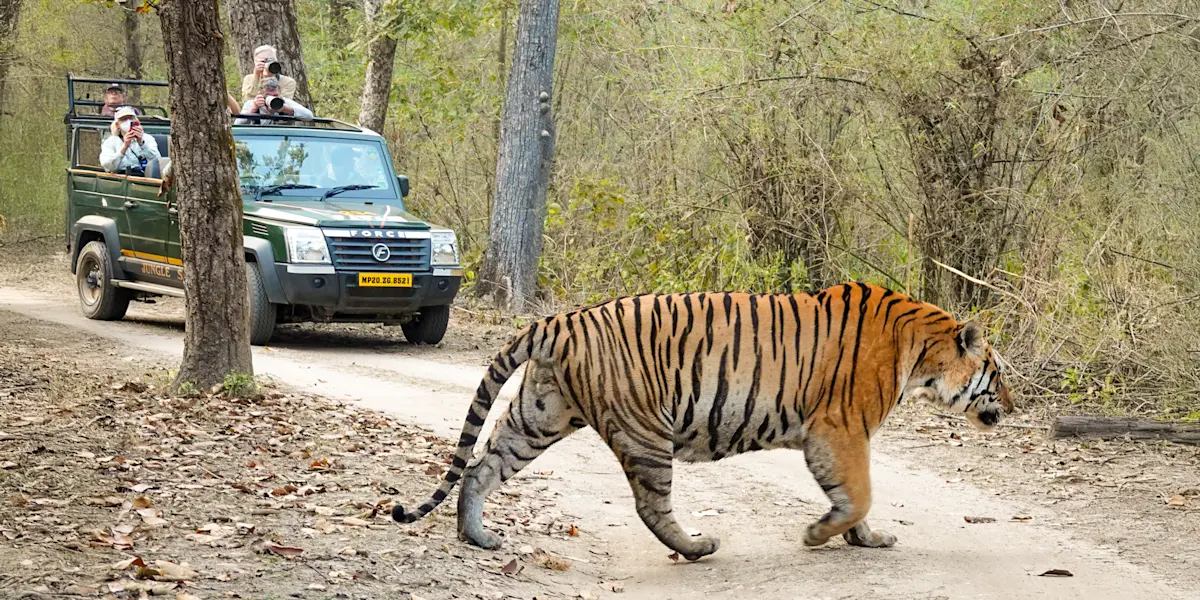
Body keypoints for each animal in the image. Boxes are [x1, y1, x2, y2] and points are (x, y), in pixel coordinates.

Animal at [393, 282, 1014, 561]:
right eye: (998, 371)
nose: (1013, 405)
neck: (924, 355)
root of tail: (559, 320)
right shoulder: (840, 430)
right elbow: (857, 494)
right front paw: (819, 535)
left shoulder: (840, 435)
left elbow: (856, 500)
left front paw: (867, 539)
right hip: (645, 429)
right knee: (651, 505)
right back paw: (697, 546)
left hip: (538, 416)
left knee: (480, 467)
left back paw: (477, 536)